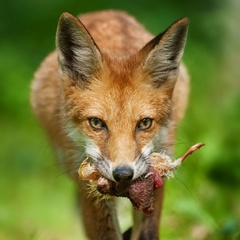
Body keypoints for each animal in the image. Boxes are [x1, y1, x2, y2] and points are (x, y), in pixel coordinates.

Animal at [31, 9, 189, 240]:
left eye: (145, 123)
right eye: (96, 122)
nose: (123, 174)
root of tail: (108, 12)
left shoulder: (158, 169)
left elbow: (147, 232)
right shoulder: (88, 184)